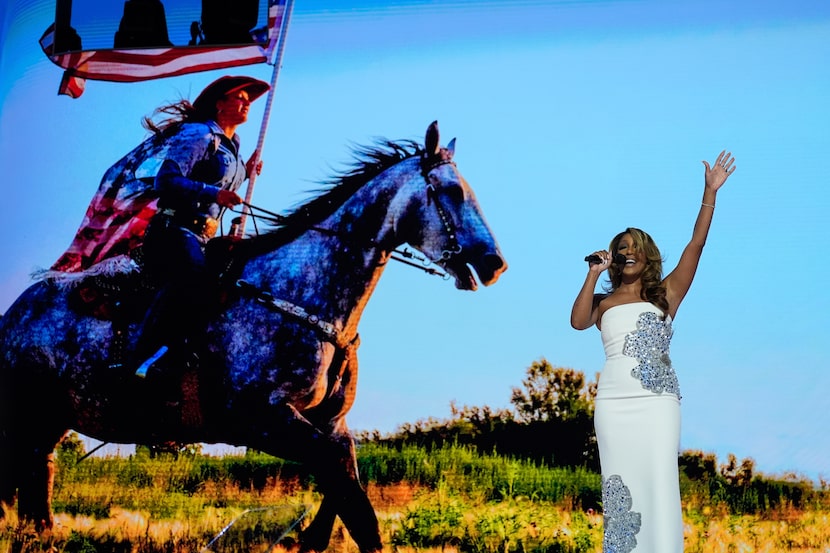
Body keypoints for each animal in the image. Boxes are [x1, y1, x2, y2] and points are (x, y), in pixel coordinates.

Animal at [0, 122, 508, 552]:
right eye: (452, 191)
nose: (494, 263)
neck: (301, 294)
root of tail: (14, 313)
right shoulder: (262, 421)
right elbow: (353, 501)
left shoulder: (330, 423)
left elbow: (344, 478)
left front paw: (311, 539)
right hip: (26, 412)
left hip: (50, 417)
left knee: (37, 475)